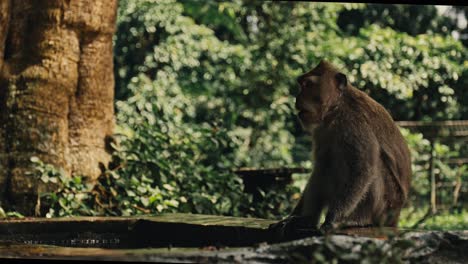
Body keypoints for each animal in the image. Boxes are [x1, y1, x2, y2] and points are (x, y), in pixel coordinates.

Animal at [268, 60, 412, 238]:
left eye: (308, 85)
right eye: (301, 85)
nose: (297, 97)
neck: (336, 109)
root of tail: (396, 216)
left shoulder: (355, 124)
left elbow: (362, 169)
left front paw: (332, 219)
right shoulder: (321, 130)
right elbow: (320, 166)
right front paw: (294, 218)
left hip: (387, 206)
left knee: (373, 166)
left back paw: (358, 219)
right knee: (325, 167)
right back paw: (306, 220)